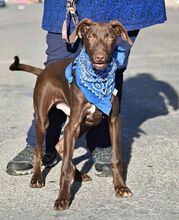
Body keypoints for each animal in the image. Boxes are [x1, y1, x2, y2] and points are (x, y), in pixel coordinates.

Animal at [9, 18, 133, 210]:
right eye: (90, 36)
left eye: (109, 37)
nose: (100, 58)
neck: (97, 79)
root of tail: (43, 71)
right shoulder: (73, 124)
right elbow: (64, 167)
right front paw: (62, 198)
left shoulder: (113, 121)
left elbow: (116, 158)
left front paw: (120, 187)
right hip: (45, 120)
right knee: (39, 149)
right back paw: (37, 178)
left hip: (85, 124)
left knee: (60, 145)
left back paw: (80, 175)